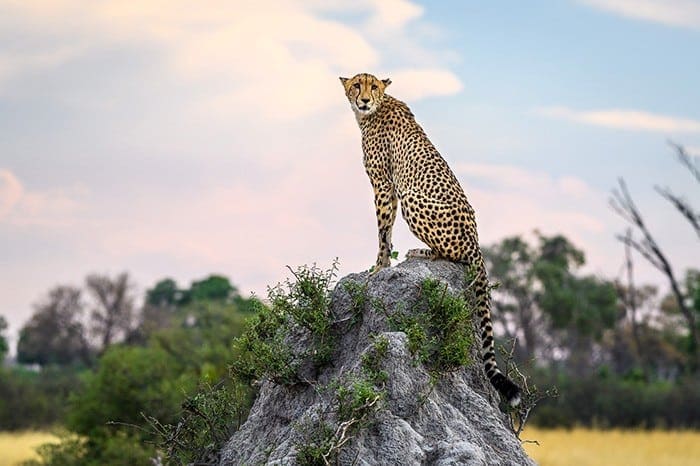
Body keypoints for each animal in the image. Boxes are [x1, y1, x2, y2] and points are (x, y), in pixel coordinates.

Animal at [340, 71, 520, 406]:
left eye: (374, 86)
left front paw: (379, 267)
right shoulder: (388, 186)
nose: (365, 99)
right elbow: (386, 231)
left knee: (448, 253)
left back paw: (421, 253)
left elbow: (383, 230)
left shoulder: (384, 185)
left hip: (412, 197)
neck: (373, 112)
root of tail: (476, 243)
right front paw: (381, 265)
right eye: (357, 85)